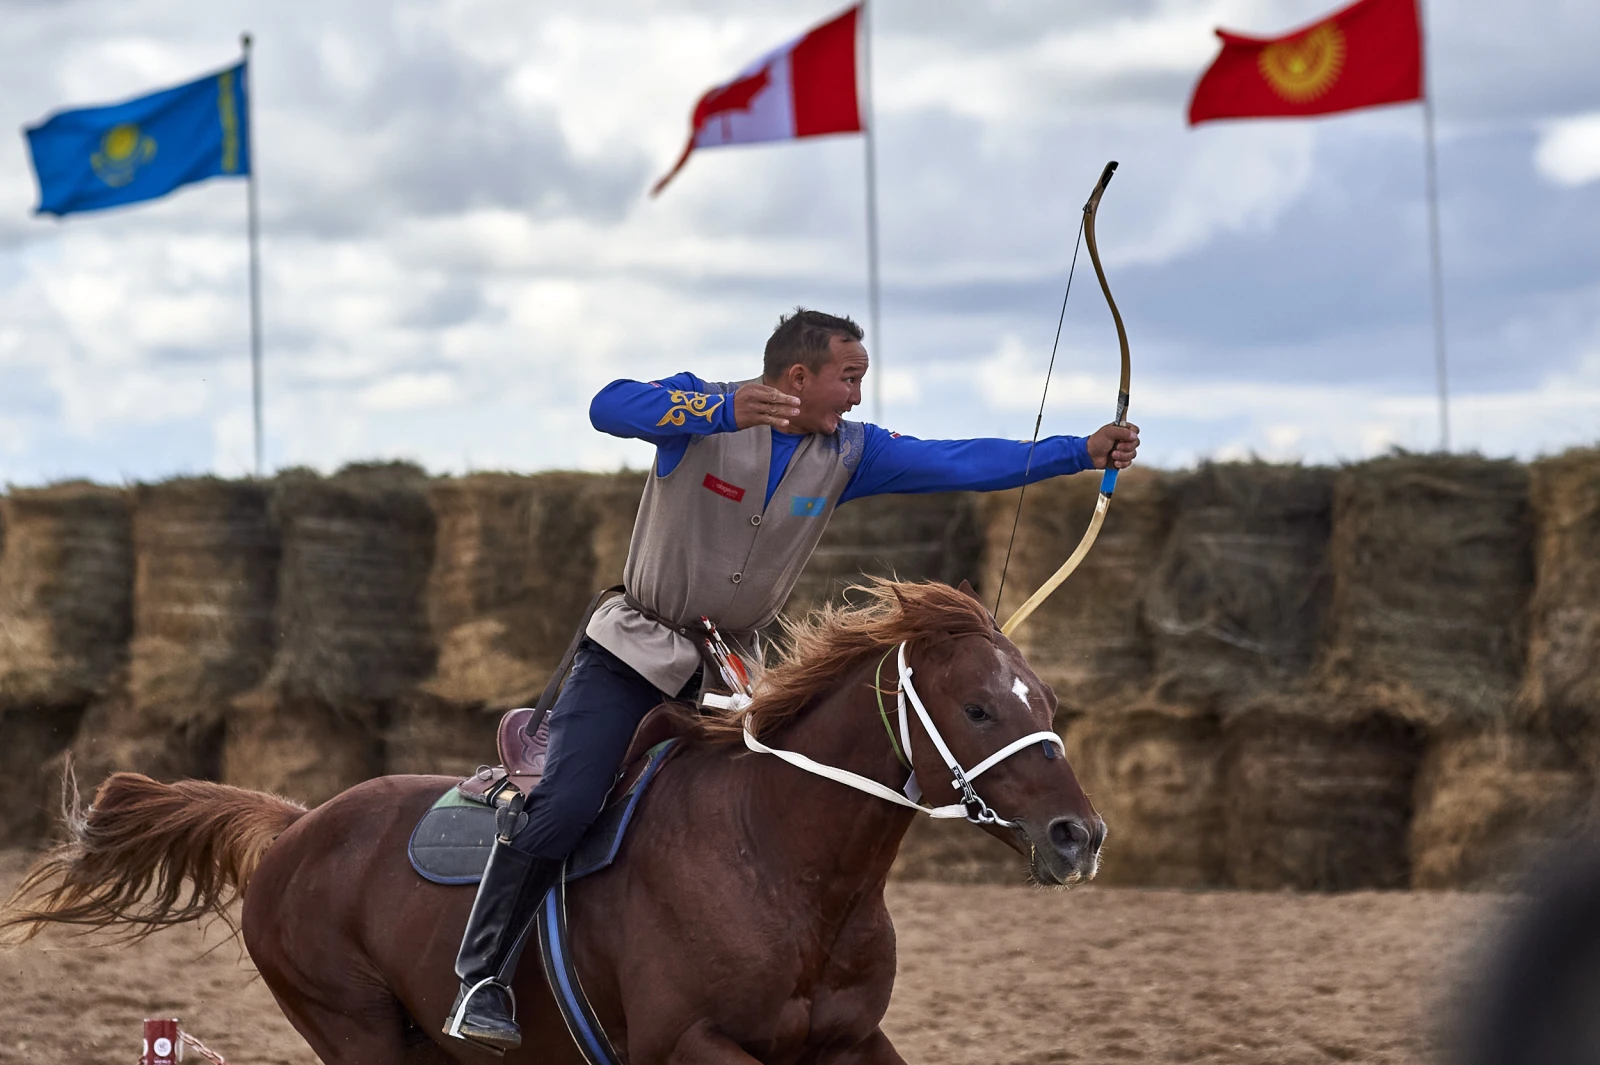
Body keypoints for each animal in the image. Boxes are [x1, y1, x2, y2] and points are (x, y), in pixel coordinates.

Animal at [3, 582, 1100, 1061]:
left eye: (1044, 696)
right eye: (978, 707)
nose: (1078, 837)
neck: (783, 867)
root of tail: (297, 825)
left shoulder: (848, 1046)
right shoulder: (688, 1047)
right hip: (356, 1032)